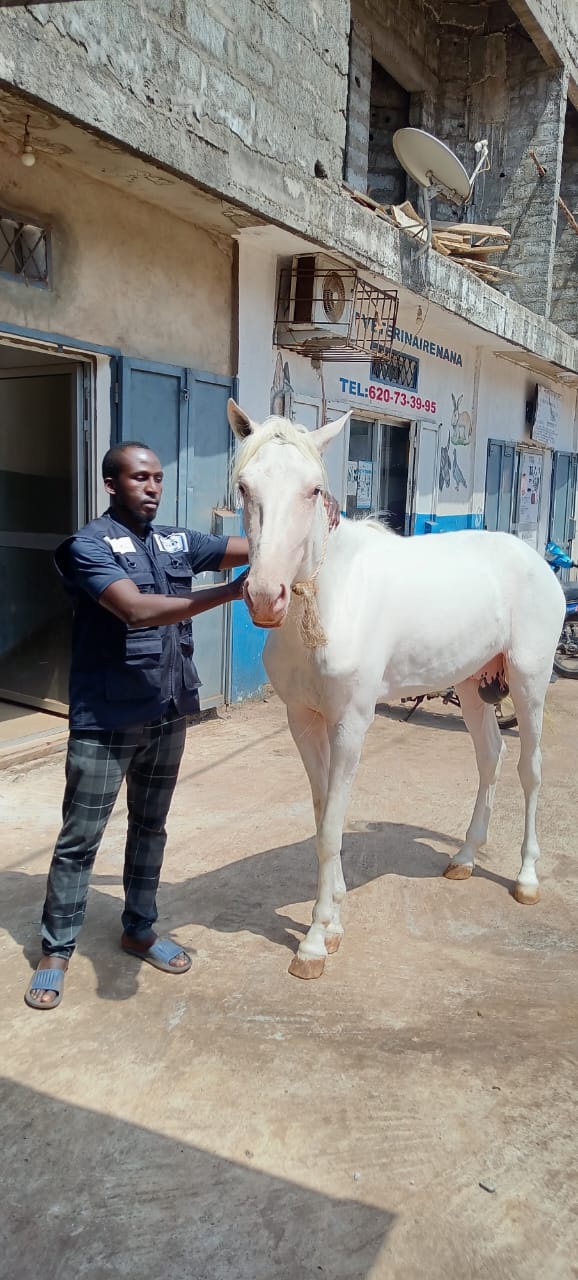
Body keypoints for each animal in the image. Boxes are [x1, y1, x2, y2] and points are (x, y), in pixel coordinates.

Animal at [227, 399, 565, 980]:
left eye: (313, 489)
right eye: (246, 486)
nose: (266, 597)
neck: (333, 599)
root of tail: (536, 560)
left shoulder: (350, 724)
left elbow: (332, 823)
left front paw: (314, 941)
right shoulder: (303, 720)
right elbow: (323, 815)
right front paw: (333, 920)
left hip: (528, 681)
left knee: (530, 770)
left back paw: (526, 878)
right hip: (472, 684)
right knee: (490, 758)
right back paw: (465, 858)